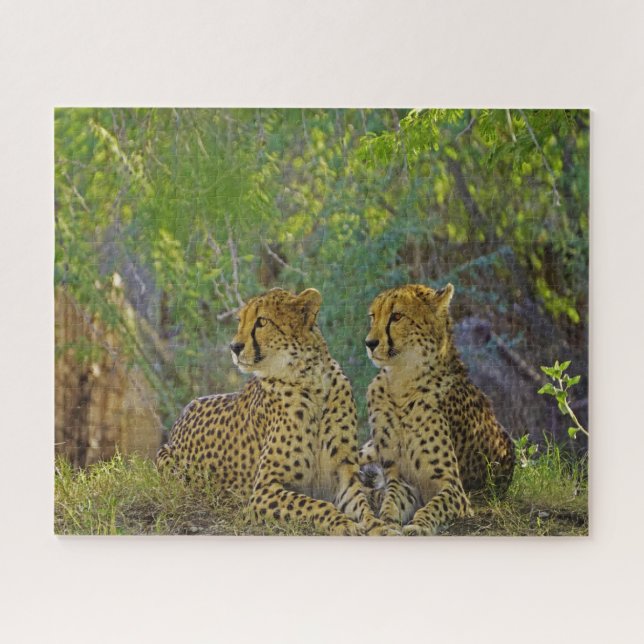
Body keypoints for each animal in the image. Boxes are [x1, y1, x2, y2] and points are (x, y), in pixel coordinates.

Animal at [157, 287, 391, 536]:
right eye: (240, 321)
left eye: (262, 321)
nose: (234, 347)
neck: (311, 381)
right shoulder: (263, 491)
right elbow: (316, 505)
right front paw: (344, 524)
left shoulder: (344, 478)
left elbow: (363, 507)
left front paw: (379, 526)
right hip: (167, 460)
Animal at [359, 283, 515, 535]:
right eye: (373, 316)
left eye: (396, 316)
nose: (370, 343)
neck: (401, 383)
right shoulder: (401, 479)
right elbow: (391, 502)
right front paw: (387, 522)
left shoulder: (454, 489)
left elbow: (432, 507)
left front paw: (418, 526)